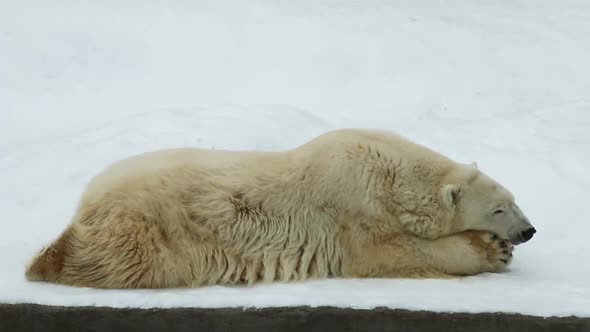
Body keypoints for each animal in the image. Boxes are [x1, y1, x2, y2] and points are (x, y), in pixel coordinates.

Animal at [26, 129, 536, 288]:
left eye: (515, 201)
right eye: (499, 208)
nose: (528, 231)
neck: (390, 172)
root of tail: (87, 200)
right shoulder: (351, 205)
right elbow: (383, 253)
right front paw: (491, 250)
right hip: (152, 228)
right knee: (120, 260)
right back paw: (48, 261)